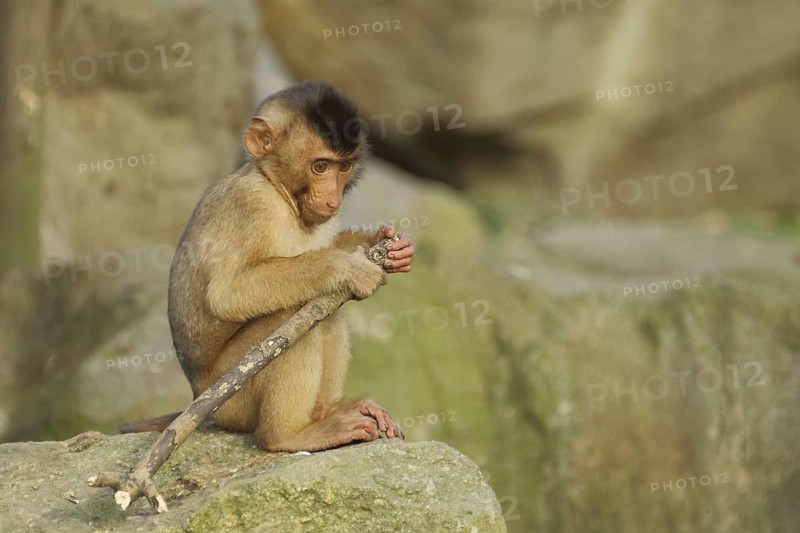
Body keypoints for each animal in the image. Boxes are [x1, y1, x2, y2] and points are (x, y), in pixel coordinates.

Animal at [120, 81, 415, 452]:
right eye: (320, 167)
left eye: (344, 167)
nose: (332, 198)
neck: (278, 190)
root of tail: (197, 396)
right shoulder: (251, 204)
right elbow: (228, 293)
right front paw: (346, 268)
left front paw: (387, 242)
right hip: (231, 397)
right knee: (290, 317)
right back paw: (288, 434)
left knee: (326, 312)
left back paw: (327, 411)